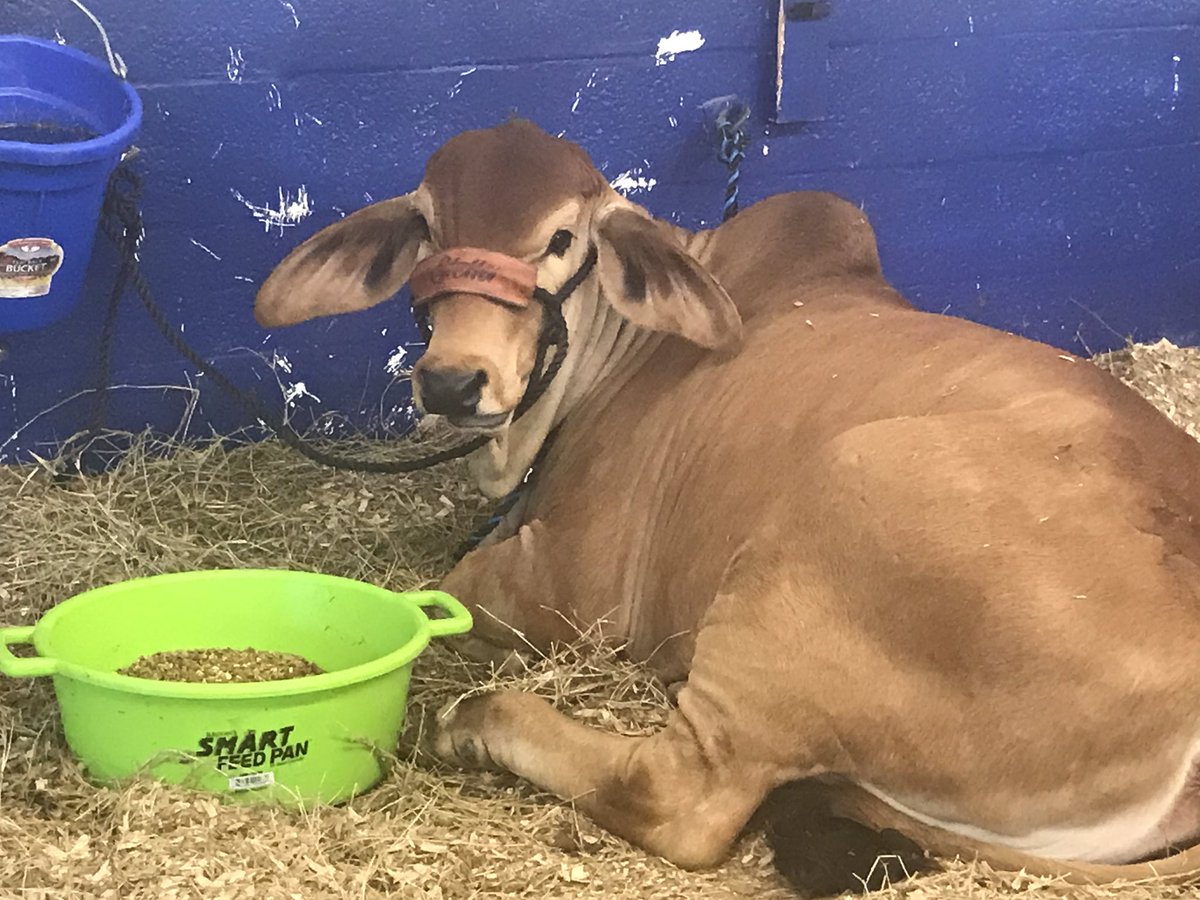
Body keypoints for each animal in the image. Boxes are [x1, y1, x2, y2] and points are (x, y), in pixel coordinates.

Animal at [254, 119, 1200, 892]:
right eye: (427, 230)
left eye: (560, 237)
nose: (453, 380)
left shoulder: (573, 592)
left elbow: (458, 582)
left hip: (826, 526)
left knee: (679, 796)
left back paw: (477, 720)